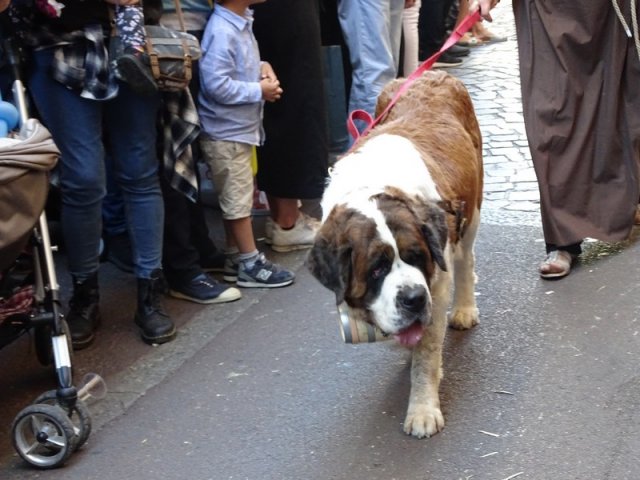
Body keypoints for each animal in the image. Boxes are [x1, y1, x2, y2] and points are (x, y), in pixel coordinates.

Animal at [308, 71, 482, 438]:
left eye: (417, 257)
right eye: (377, 270)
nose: (414, 299)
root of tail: (433, 72)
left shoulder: (437, 283)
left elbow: (426, 354)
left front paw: (423, 410)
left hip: (471, 214)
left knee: (466, 261)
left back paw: (464, 309)